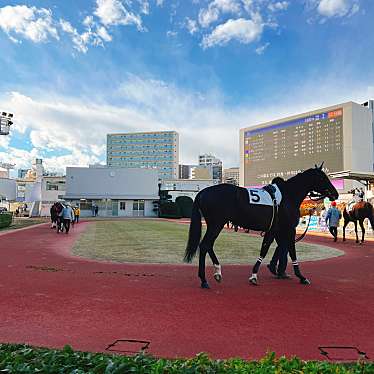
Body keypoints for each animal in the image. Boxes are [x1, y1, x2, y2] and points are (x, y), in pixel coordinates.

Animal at [184, 164, 338, 290]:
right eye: (323, 177)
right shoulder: (288, 229)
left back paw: (217, 272)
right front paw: (301, 277)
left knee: (207, 245)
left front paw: (257, 274)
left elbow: (268, 249)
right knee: (205, 245)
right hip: (217, 224)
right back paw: (204, 280)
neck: (288, 196)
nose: (335, 193)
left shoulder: (275, 230)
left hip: (215, 224)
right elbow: (290, 251)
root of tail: (202, 192)